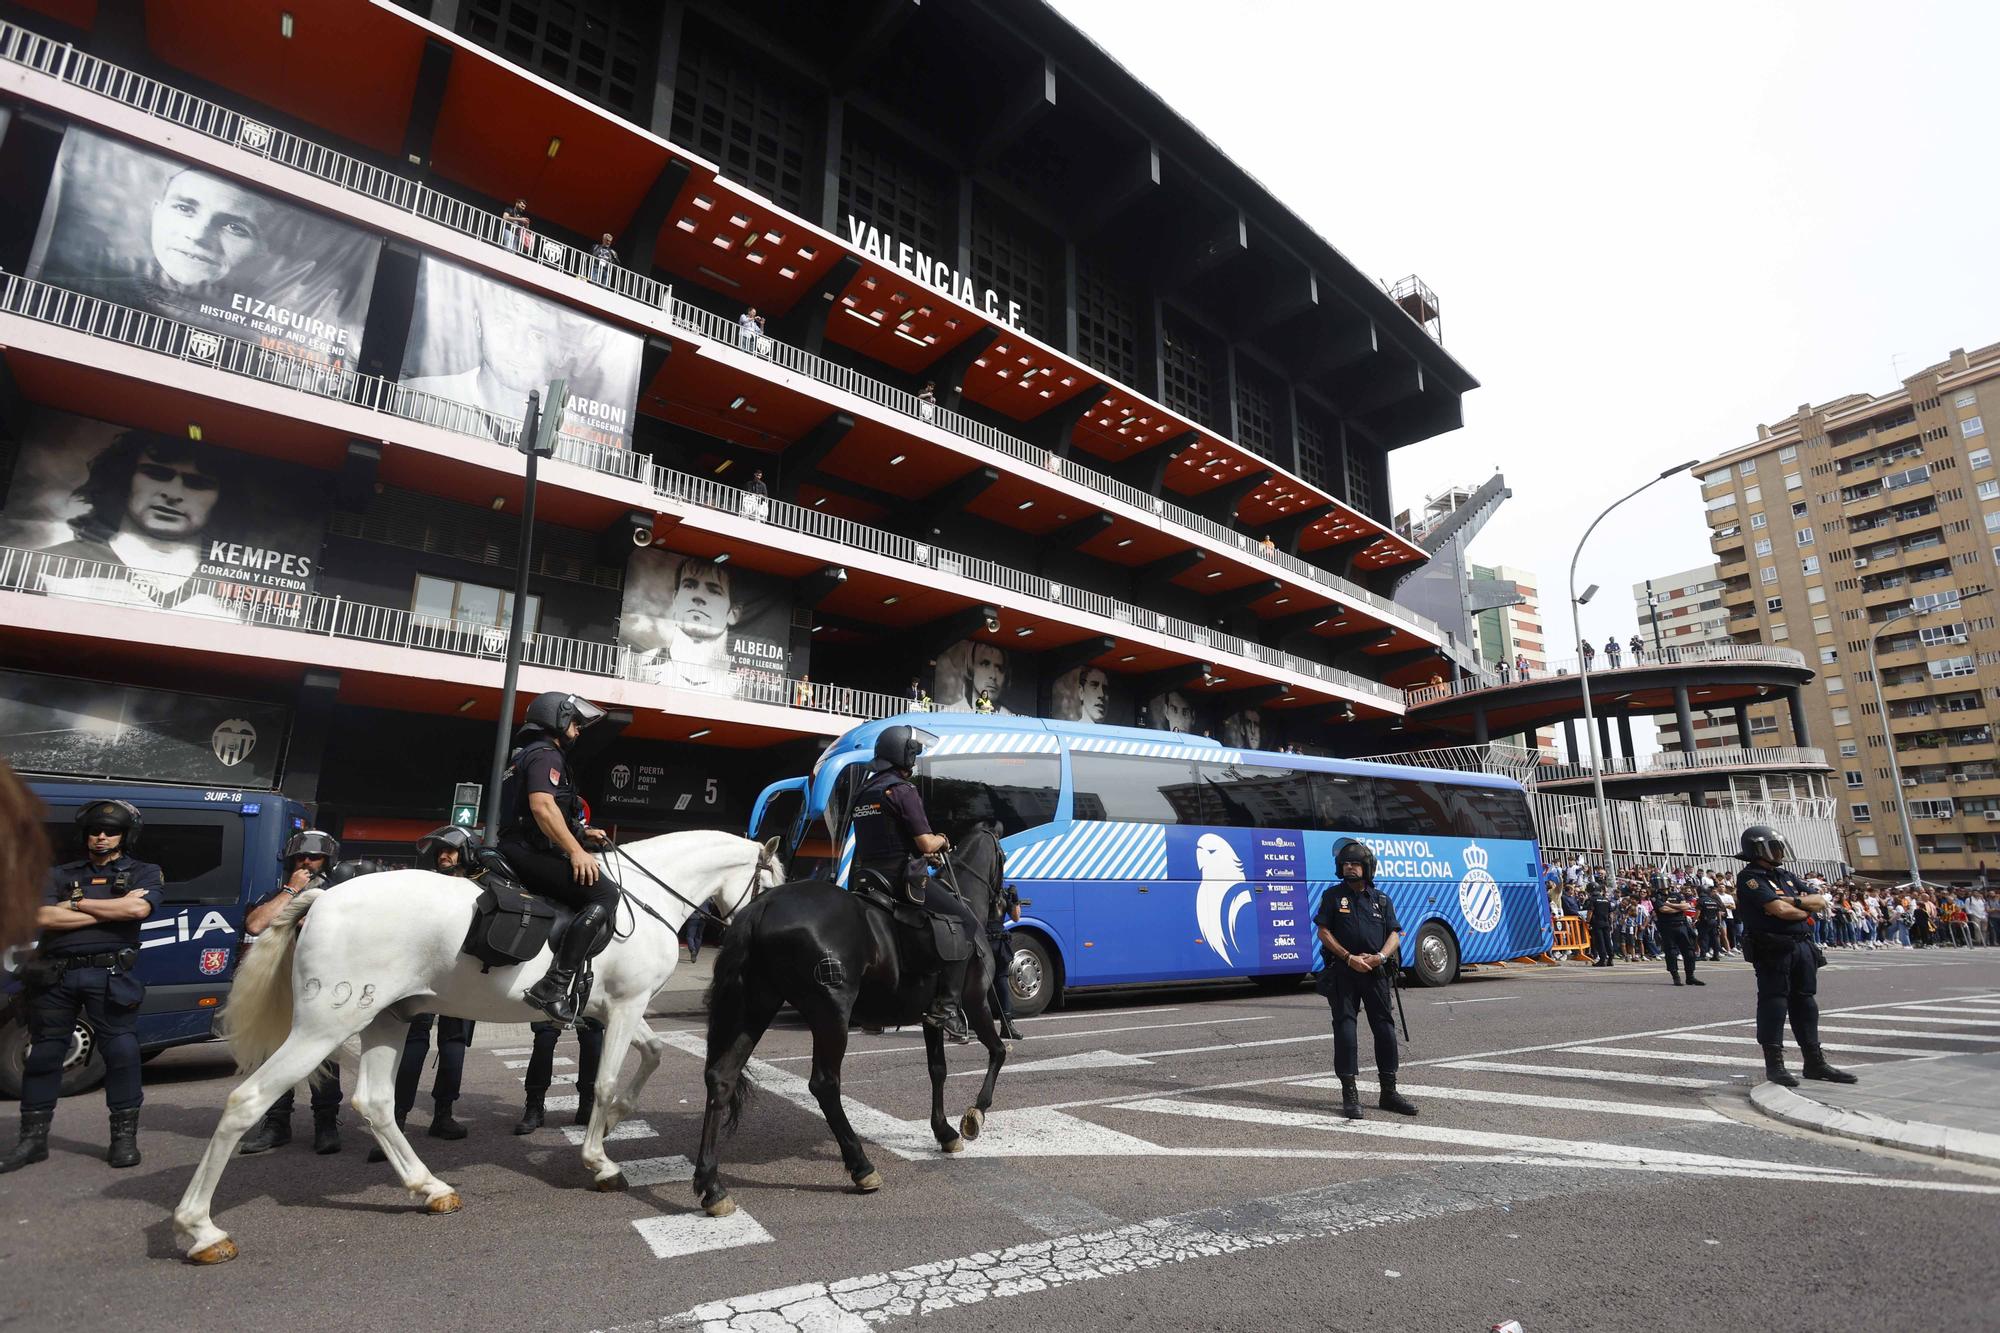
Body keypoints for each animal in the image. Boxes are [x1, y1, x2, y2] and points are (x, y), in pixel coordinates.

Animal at [172, 824, 780, 1264]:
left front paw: (610, 1127)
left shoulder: (609, 1011)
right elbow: (606, 1082)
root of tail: (319, 898)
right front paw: (600, 1161)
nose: (763, 935)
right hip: (324, 1025)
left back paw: (429, 1188)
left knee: (375, 1103)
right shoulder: (626, 1006)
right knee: (246, 1102)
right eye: (773, 886)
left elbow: (651, 1057)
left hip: (387, 1018)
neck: (646, 898)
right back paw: (201, 1231)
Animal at [700, 832, 1016, 1216]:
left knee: (721, 1078)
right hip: (830, 1013)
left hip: (756, 1007)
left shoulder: (930, 1019)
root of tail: (762, 906)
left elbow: (937, 1070)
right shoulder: (977, 1002)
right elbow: (998, 1052)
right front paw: (974, 1116)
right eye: (1003, 857)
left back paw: (711, 1187)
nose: (1006, 901)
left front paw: (944, 1132)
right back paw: (861, 1167)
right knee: (824, 1084)